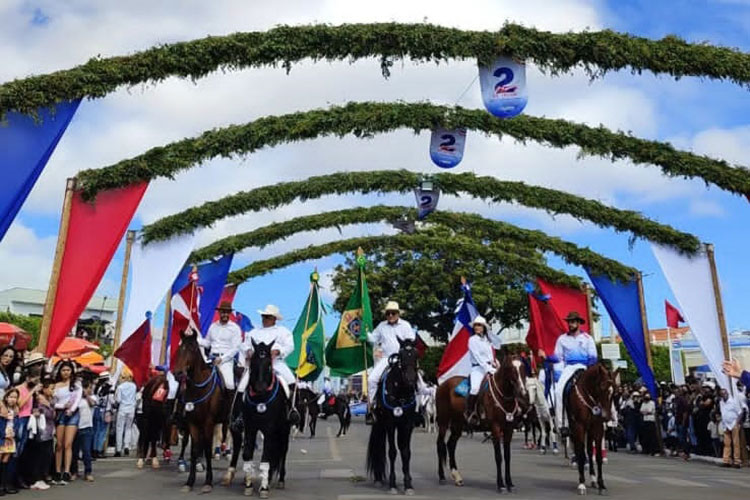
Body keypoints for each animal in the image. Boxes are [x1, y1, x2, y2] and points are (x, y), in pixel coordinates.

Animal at [172, 328, 231, 492]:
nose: (178, 374)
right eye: (179, 349)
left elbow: (206, 448)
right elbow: (194, 450)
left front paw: (208, 482)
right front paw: (189, 481)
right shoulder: (192, 423)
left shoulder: (208, 423)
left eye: (192, 348)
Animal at [241, 342, 290, 498]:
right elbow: (247, 454)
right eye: (253, 363)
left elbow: (266, 457)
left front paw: (264, 488)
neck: (261, 399)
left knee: (282, 452)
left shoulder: (269, 429)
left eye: (269, 364)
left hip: (284, 430)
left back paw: (280, 480)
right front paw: (249, 485)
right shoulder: (250, 428)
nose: (260, 387)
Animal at [368, 338, 424, 494]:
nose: (411, 380)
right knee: (380, 445)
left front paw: (408, 484)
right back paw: (378, 479)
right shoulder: (390, 424)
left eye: (416, 355)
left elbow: (406, 452)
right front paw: (392, 484)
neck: (401, 391)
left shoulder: (407, 425)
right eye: (401, 355)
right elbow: (392, 452)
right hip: (380, 423)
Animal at [434, 356, 528, 492]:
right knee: (440, 444)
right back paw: (441, 477)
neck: (502, 397)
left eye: (523, 368)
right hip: (443, 422)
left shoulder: (509, 429)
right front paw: (501, 485)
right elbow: (498, 456)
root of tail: (442, 385)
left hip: (458, 425)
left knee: (451, 445)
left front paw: (509, 483)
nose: (523, 392)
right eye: (511, 369)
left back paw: (457, 477)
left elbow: (507, 456)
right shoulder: (495, 428)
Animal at [568, 362, 616, 494]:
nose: (606, 416)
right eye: (602, 387)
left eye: (614, 391)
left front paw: (601, 484)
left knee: (589, 450)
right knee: (579, 450)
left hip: (589, 431)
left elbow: (598, 456)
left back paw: (593, 479)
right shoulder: (579, 426)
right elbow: (580, 453)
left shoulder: (597, 427)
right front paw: (582, 483)